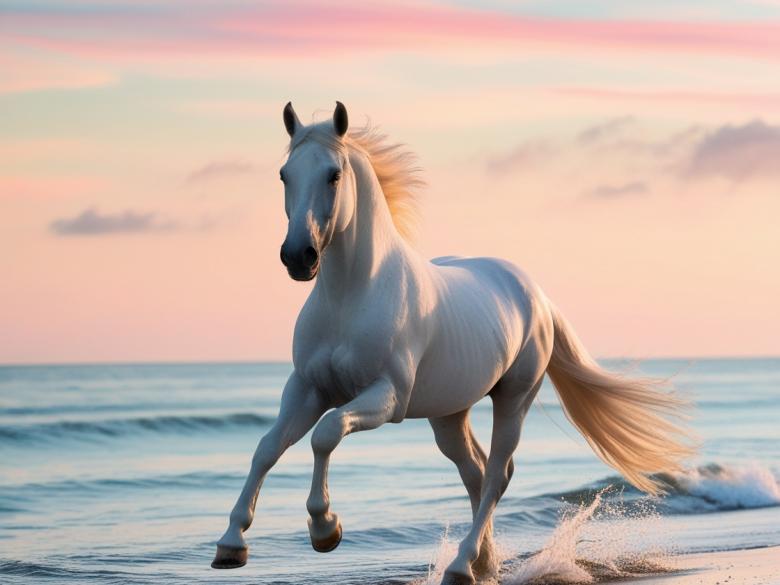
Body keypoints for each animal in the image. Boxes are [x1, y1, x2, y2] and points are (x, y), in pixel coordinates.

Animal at [211, 101, 693, 585]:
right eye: (284, 174)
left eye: (333, 174)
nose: (298, 256)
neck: (351, 296)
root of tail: (535, 294)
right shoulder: (307, 389)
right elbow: (268, 448)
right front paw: (231, 545)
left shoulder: (387, 397)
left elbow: (325, 433)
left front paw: (325, 527)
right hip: (448, 415)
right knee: (474, 471)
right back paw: (482, 565)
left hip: (514, 398)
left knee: (497, 474)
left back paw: (461, 566)